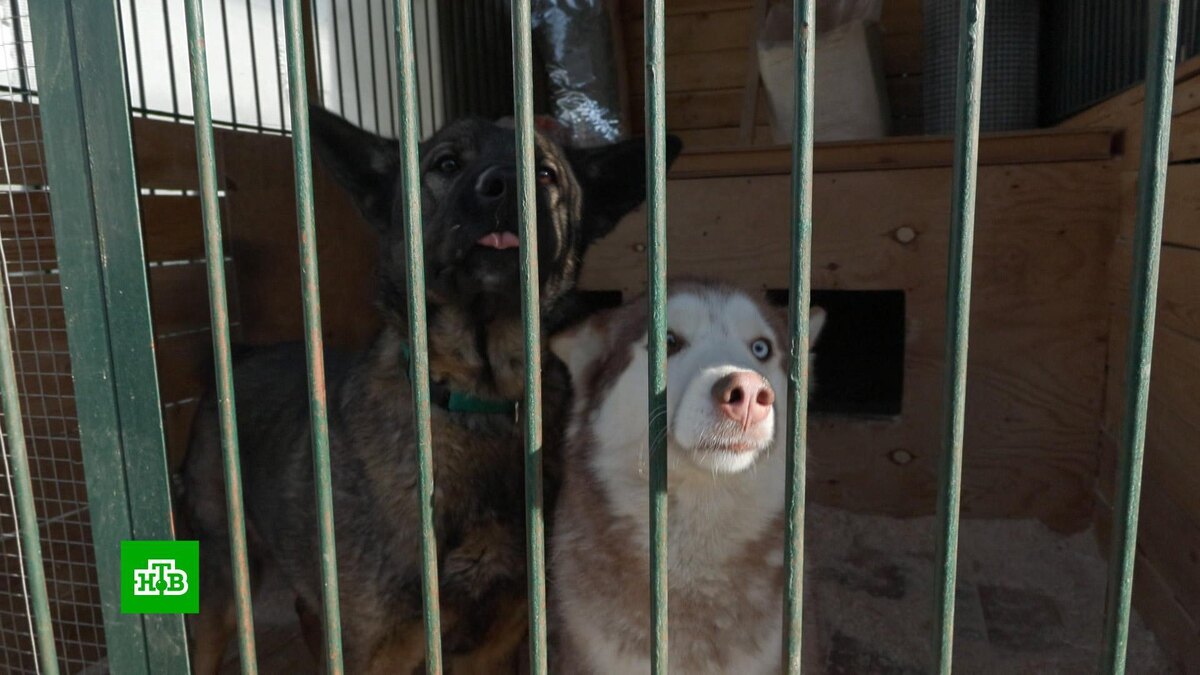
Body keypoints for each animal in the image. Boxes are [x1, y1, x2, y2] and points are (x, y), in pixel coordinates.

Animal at [178, 108, 681, 674]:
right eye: (446, 164)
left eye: (545, 174)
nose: (505, 186)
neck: (477, 400)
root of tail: (240, 353)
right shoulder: (380, 650)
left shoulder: (491, 646)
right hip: (224, 575)